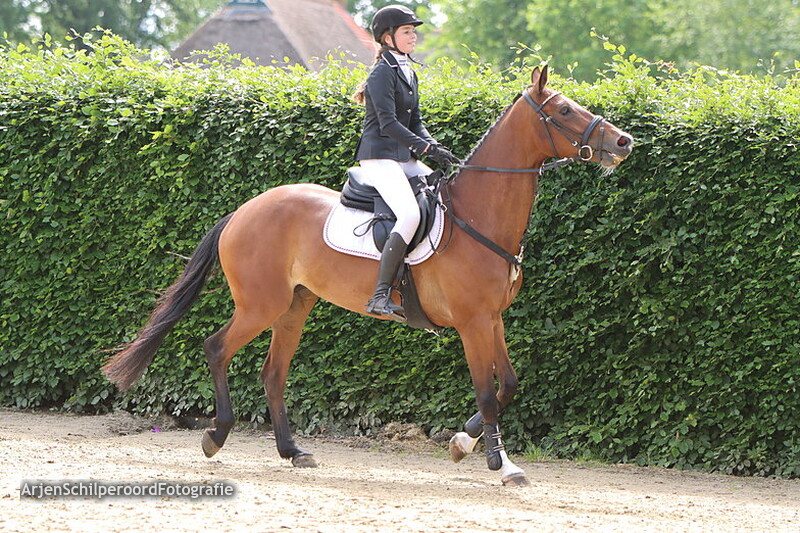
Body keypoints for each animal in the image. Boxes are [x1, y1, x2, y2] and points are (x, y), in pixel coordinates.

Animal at [103, 66, 633, 486]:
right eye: (563, 110)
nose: (623, 143)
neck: (477, 216)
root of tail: (243, 210)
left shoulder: (493, 319)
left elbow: (507, 385)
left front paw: (461, 444)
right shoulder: (472, 323)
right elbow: (488, 392)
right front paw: (502, 465)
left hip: (295, 305)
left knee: (274, 372)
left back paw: (292, 452)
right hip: (260, 304)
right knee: (217, 349)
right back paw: (216, 435)